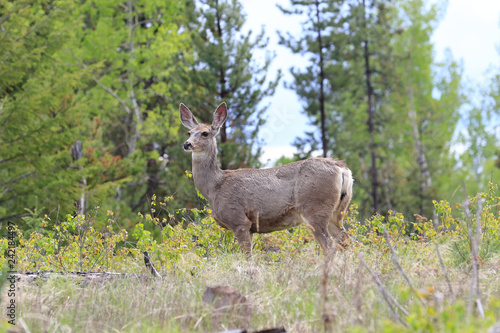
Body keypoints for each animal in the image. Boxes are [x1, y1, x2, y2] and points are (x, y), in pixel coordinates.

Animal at [180, 101, 352, 254]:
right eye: (189, 133)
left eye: (205, 133)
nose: (187, 144)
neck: (215, 187)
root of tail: (343, 170)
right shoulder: (250, 227)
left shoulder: (238, 220)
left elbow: (247, 257)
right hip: (337, 212)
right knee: (347, 242)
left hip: (315, 208)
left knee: (331, 248)